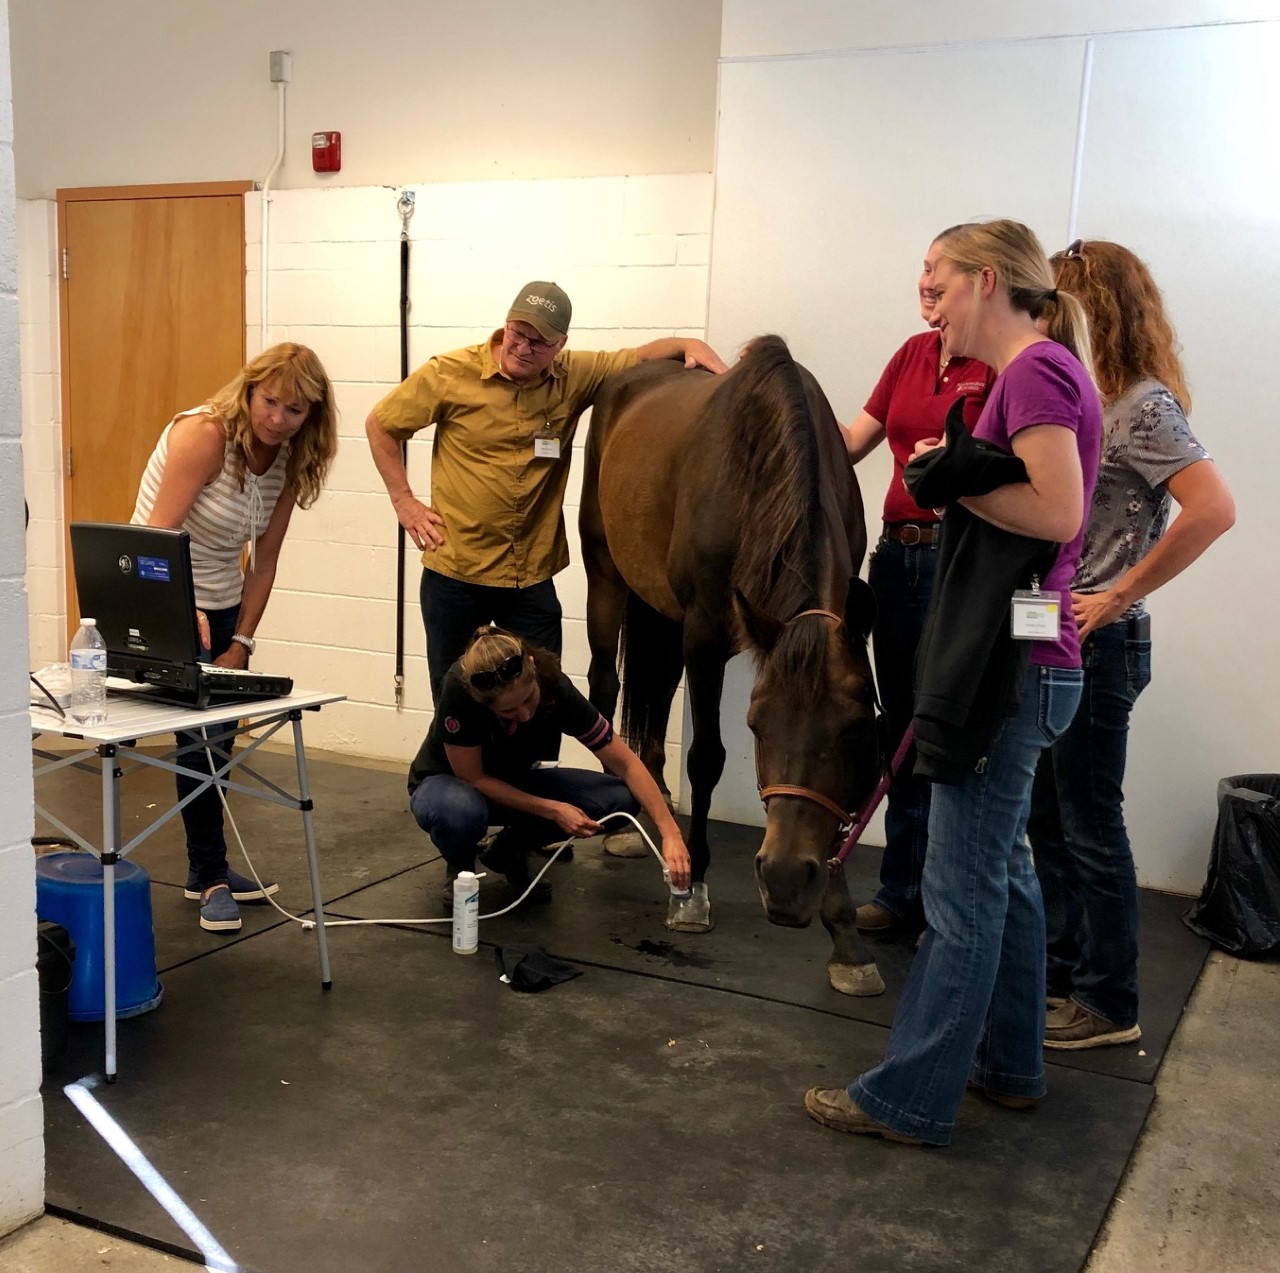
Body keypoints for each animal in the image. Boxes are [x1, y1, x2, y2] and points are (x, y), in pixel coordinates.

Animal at [583, 335, 890, 997]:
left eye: (857, 727)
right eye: (755, 725)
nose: (786, 880)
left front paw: (845, 935)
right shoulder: (703, 634)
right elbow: (705, 758)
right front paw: (692, 888)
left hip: (659, 612)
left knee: (654, 693)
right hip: (608, 579)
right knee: (604, 684)